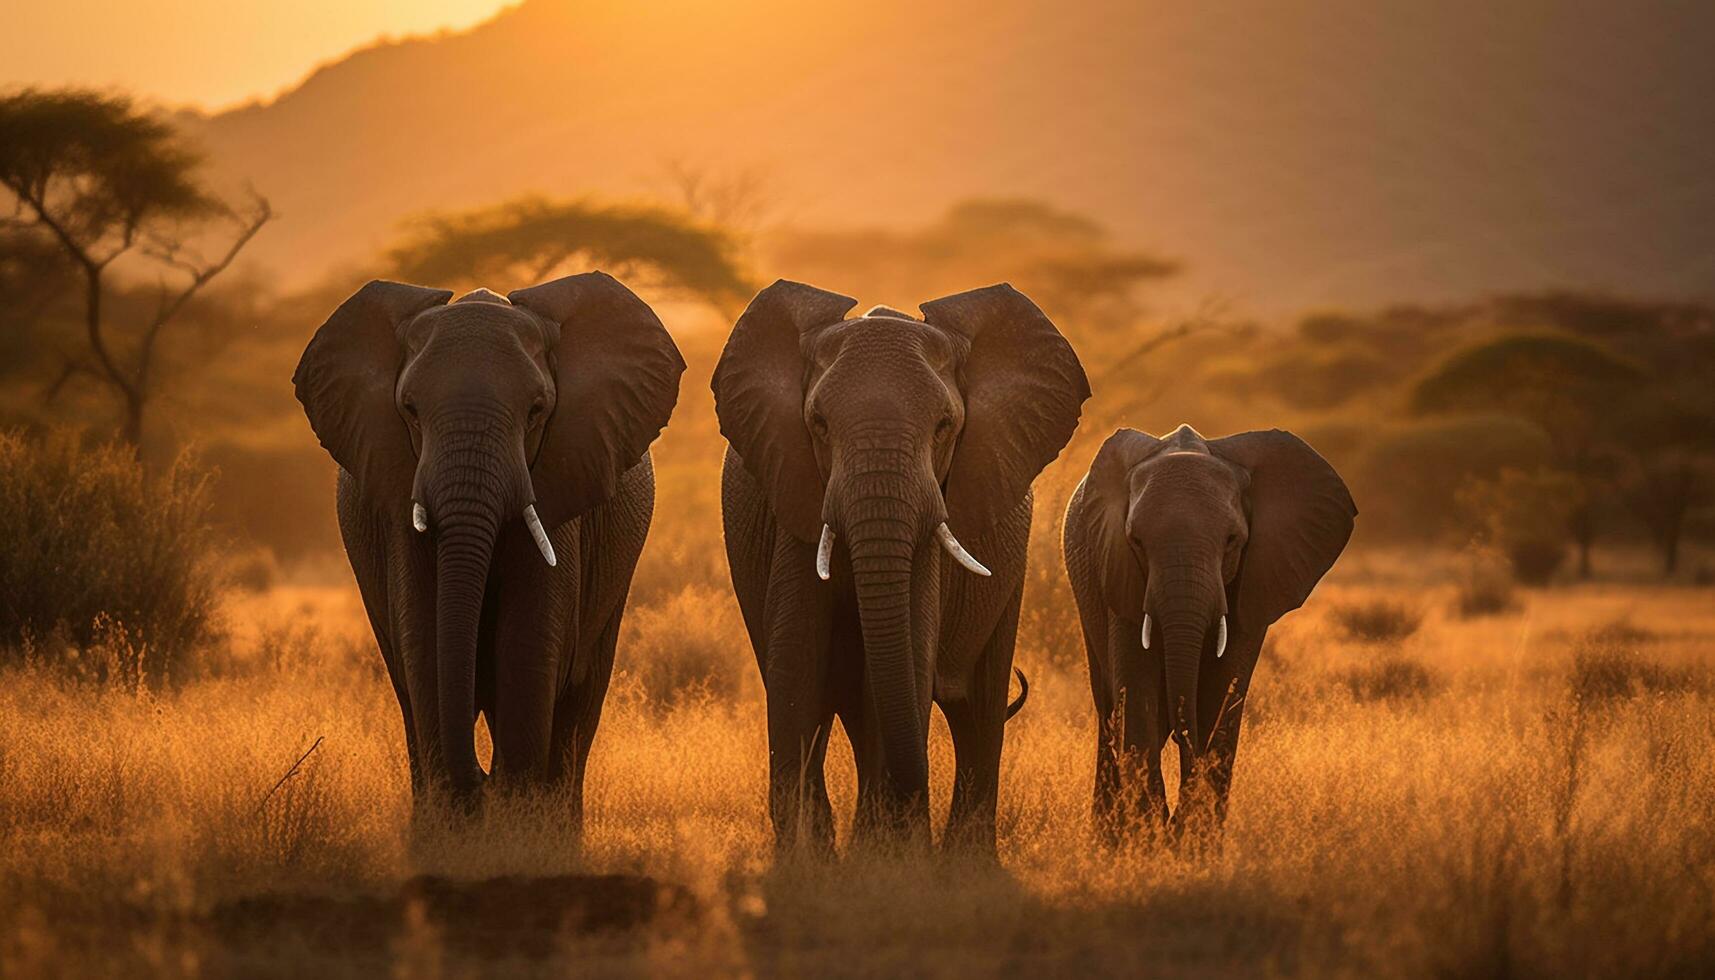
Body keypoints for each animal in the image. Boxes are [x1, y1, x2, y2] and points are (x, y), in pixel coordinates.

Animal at [289, 272, 682, 816]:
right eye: (410, 409)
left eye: (537, 410)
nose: (480, 779)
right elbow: (425, 635)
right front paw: (459, 821)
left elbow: (529, 637)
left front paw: (515, 818)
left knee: (580, 697)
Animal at [713, 278, 1090, 851]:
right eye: (819, 425)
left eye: (944, 426)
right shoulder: (793, 499)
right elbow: (796, 662)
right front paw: (809, 858)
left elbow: (904, 653)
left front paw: (886, 853)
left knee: (978, 712)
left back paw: (962, 856)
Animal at [1056, 422, 1351, 837]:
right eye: (1136, 542)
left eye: (1232, 541)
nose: (1186, 738)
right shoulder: (1117, 570)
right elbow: (1138, 695)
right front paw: (1150, 841)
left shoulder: (1253, 581)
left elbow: (1223, 695)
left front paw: (1192, 840)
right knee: (1109, 708)